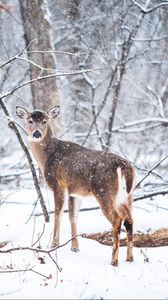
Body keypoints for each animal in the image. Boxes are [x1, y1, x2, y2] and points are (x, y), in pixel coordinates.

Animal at [15, 104, 136, 266]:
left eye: (45, 121)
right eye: (30, 120)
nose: (36, 133)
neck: (47, 157)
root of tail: (124, 167)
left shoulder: (58, 185)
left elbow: (58, 214)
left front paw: (54, 244)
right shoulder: (74, 192)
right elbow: (73, 217)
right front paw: (75, 247)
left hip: (104, 191)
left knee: (117, 220)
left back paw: (114, 261)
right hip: (127, 196)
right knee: (129, 220)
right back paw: (130, 258)